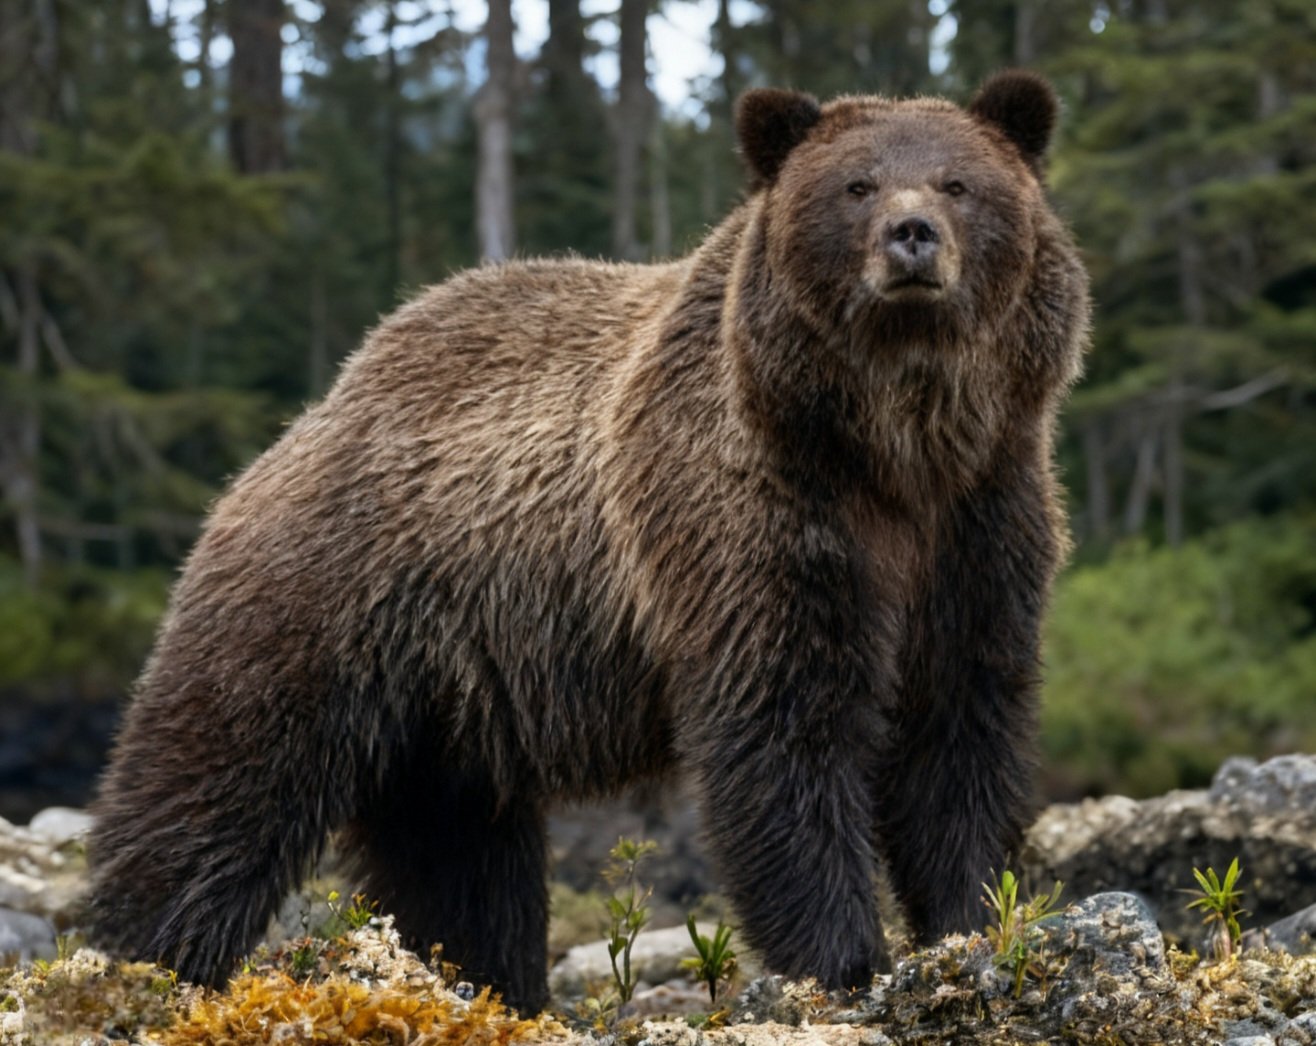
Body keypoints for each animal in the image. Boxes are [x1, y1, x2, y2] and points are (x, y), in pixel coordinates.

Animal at [88, 70, 1089, 1013]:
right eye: (856, 184)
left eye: (959, 183)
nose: (911, 235)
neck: (895, 445)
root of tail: (296, 429)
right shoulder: (754, 518)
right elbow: (787, 733)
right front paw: (841, 961)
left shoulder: (982, 522)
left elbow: (961, 726)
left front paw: (973, 921)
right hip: (316, 596)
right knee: (217, 785)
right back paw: (141, 960)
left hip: (444, 703)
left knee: (455, 853)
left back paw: (484, 983)